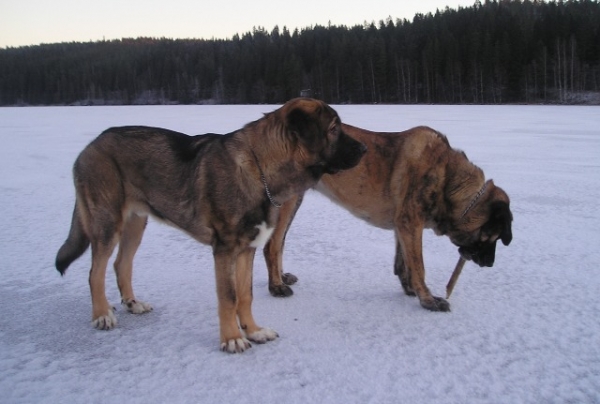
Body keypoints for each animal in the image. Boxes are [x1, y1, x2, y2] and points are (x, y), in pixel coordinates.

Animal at [55, 98, 366, 350]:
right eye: (334, 129)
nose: (364, 148)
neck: (260, 169)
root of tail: (91, 145)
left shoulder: (247, 248)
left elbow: (245, 295)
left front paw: (253, 331)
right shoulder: (225, 249)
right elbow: (228, 297)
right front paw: (232, 339)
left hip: (135, 222)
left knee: (122, 264)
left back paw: (133, 303)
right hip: (108, 222)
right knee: (95, 272)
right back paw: (102, 315)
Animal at [262, 124, 510, 312]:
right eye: (495, 237)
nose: (490, 263)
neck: (449, 182)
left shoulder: (403, 225)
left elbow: (404, 263)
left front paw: (410, 289)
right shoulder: (411, 222)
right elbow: (419, 265)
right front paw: (428, 300)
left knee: (280, 242)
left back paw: (281, 277)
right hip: (288, 200)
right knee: (272, 245)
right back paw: (276, 287)